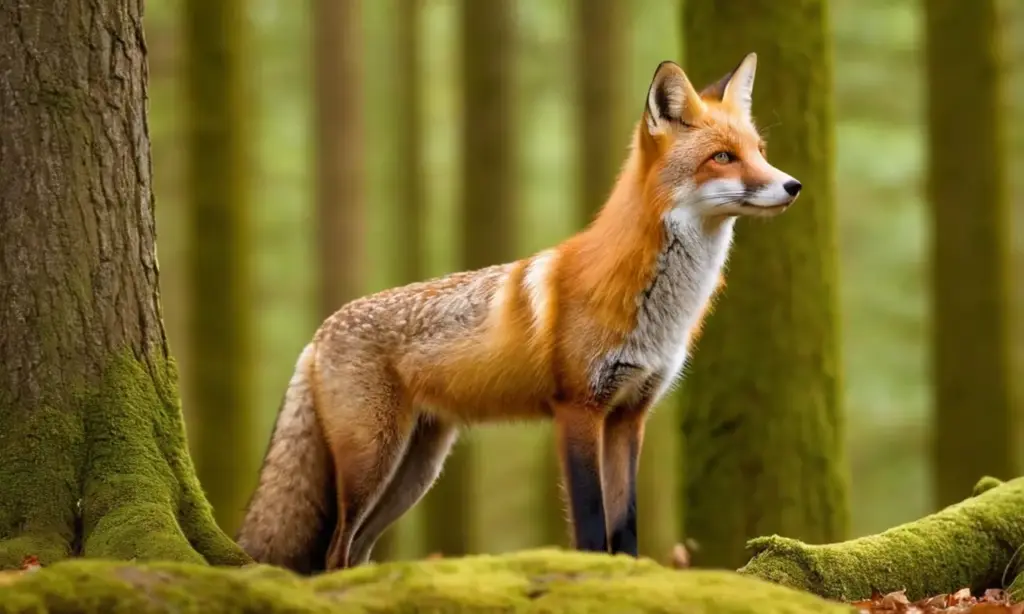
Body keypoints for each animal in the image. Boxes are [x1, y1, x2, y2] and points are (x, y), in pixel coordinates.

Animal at [236, 52, 802, 573]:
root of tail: (320, 332)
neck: (660, 308)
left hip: (415, 470)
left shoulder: (629, 415)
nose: (793, 185)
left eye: (758, 152)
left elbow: (625, 525)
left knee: (355, 550)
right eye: (723, 157)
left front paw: (629, 575)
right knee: (334, 550)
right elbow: (592, 523)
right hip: (373, 460)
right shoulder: (577, 409)